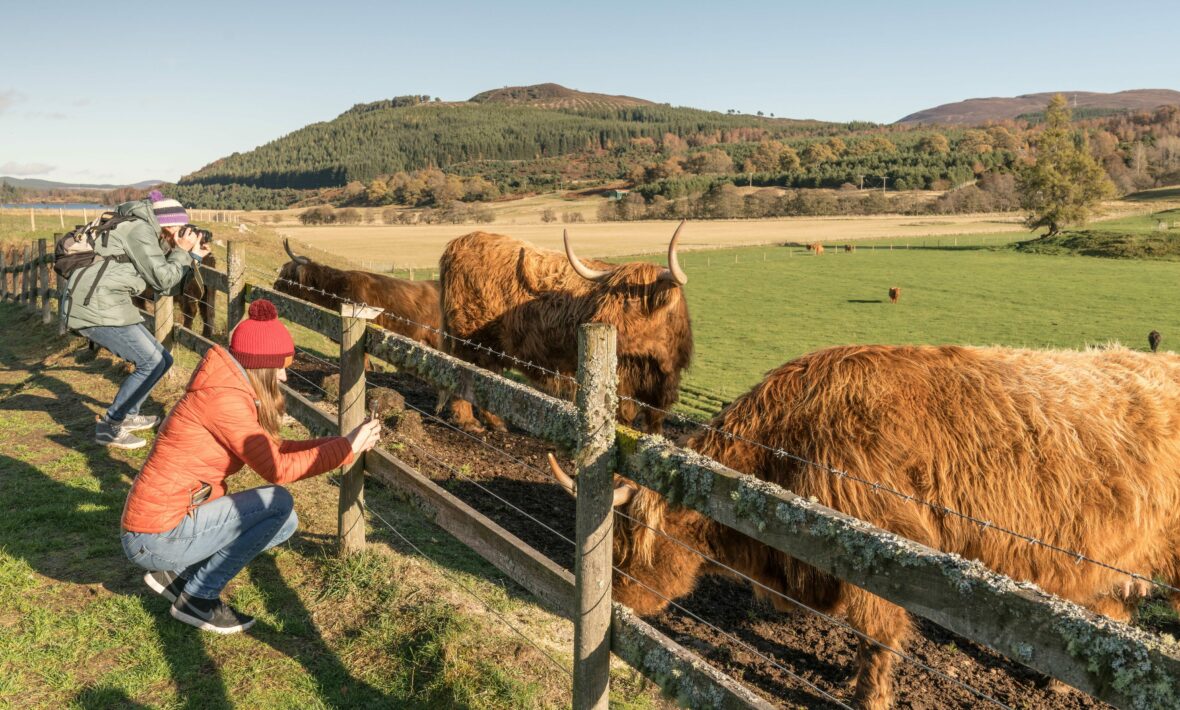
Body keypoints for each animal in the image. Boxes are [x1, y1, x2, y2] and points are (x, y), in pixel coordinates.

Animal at [443, 222, 689, 431]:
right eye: (605, 299)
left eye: (631, 302)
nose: (590, 321)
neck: (655, 358)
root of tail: (461, 241)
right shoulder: (621, 385)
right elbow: (622, 419)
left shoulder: (662, 390)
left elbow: (653, 424)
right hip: (469, 338)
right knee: (462, 372)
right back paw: (468, 422)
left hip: (492, 346)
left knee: (488, 376)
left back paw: (496, 422)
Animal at [547, 344, 1180, 707]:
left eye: (628, 546)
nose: (607, 600)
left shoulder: (886, 554)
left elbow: (876, 637)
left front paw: (868, 698)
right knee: (1114, 609)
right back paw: (1061, 682)